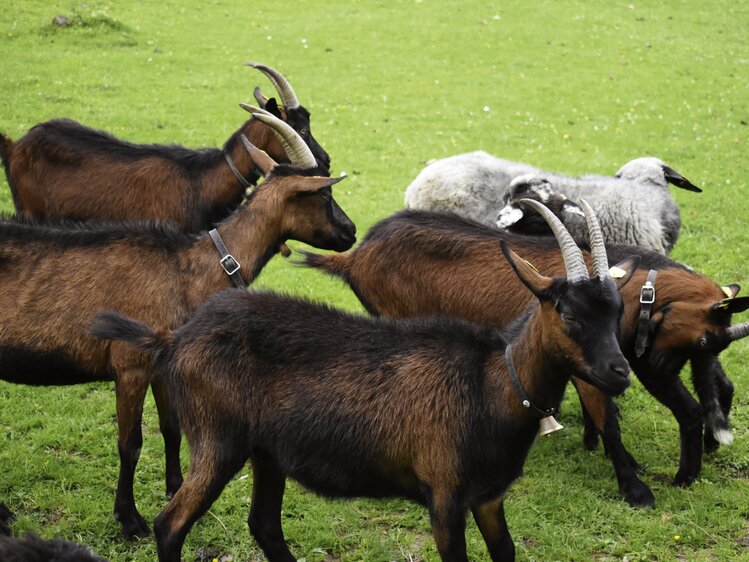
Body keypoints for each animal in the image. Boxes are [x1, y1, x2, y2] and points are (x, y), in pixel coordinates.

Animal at [0, 110, 356, 540]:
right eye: (322, 195)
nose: (351, 231)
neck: (190, 269)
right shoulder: (130, 365)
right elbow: (130, 443)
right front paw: (130, 519)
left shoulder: (161, 362)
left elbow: (171, 429)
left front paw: (173, 489)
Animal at [90, 200, 636, 560]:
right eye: (567, 312)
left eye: (617, 311)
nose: (619, 372)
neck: (491, 386)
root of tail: (175, 339)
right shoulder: (445, 497)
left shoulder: (489, 498)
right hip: (218, 439)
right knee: (170, 526)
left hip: (267, 451)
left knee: (263, 526)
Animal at [302, 208, 748, 506]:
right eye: (703, 342)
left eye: (714, 348)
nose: (634, 371)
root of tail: (355, 256)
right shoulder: (588, 364)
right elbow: (608, 417)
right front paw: (635, 487)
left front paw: (600, 448)